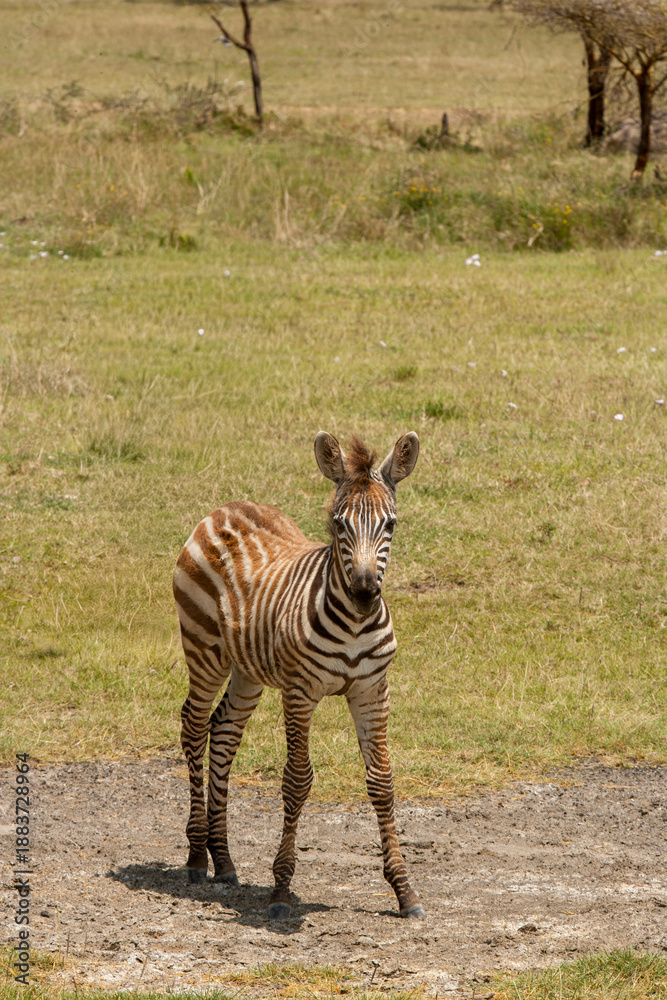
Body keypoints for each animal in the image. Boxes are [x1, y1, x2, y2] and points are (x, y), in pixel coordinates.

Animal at [173, 430, 425, 921]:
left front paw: (405, 891)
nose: (365, 594)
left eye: (390, 525)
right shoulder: (299, 691)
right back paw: (196, 856)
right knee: (193, 726)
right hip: (204, 649)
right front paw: (282, 889)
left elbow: (382, 782)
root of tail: (226, 507)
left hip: (246, 670)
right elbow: (297, 780)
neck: (354, 624)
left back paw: (223, 860)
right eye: (339, 524)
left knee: (223, 732)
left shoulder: (372, 690)